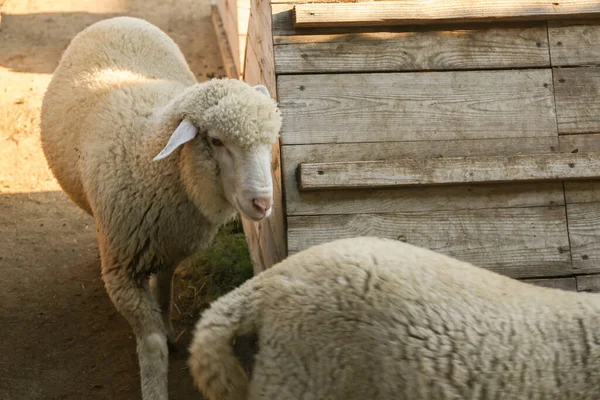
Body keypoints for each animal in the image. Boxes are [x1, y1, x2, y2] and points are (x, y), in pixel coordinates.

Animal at [40, 16, 284, 400]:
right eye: (216, 140)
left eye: (270, 140)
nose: (262, 202)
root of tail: (118, 18)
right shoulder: (123, 273)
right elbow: (151, 343)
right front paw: (154, 384)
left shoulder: (170, 248)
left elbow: (166, 292)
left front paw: (169, 328)